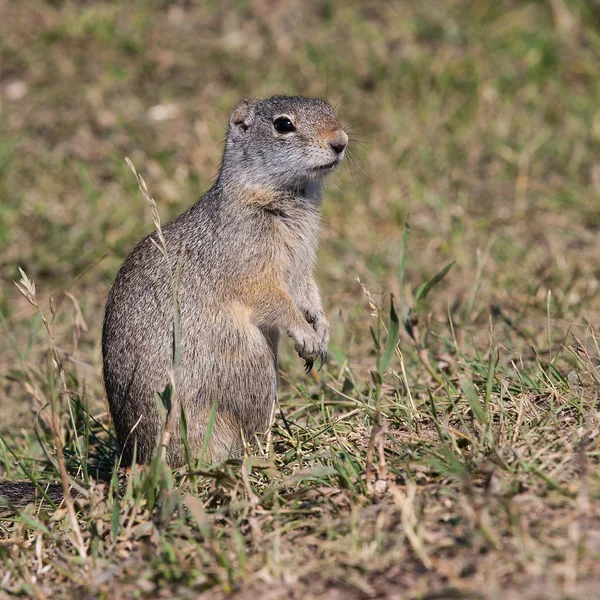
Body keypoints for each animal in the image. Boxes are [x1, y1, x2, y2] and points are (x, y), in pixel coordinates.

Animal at [102, 95, 346, 468]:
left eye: (329, 109)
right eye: (283, 125)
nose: (341, 141)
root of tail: (134, 459)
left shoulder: (302, 267)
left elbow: (308, 292)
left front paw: (322, 330)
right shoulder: (253, 269)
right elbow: (275, 301)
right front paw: (306, 337)